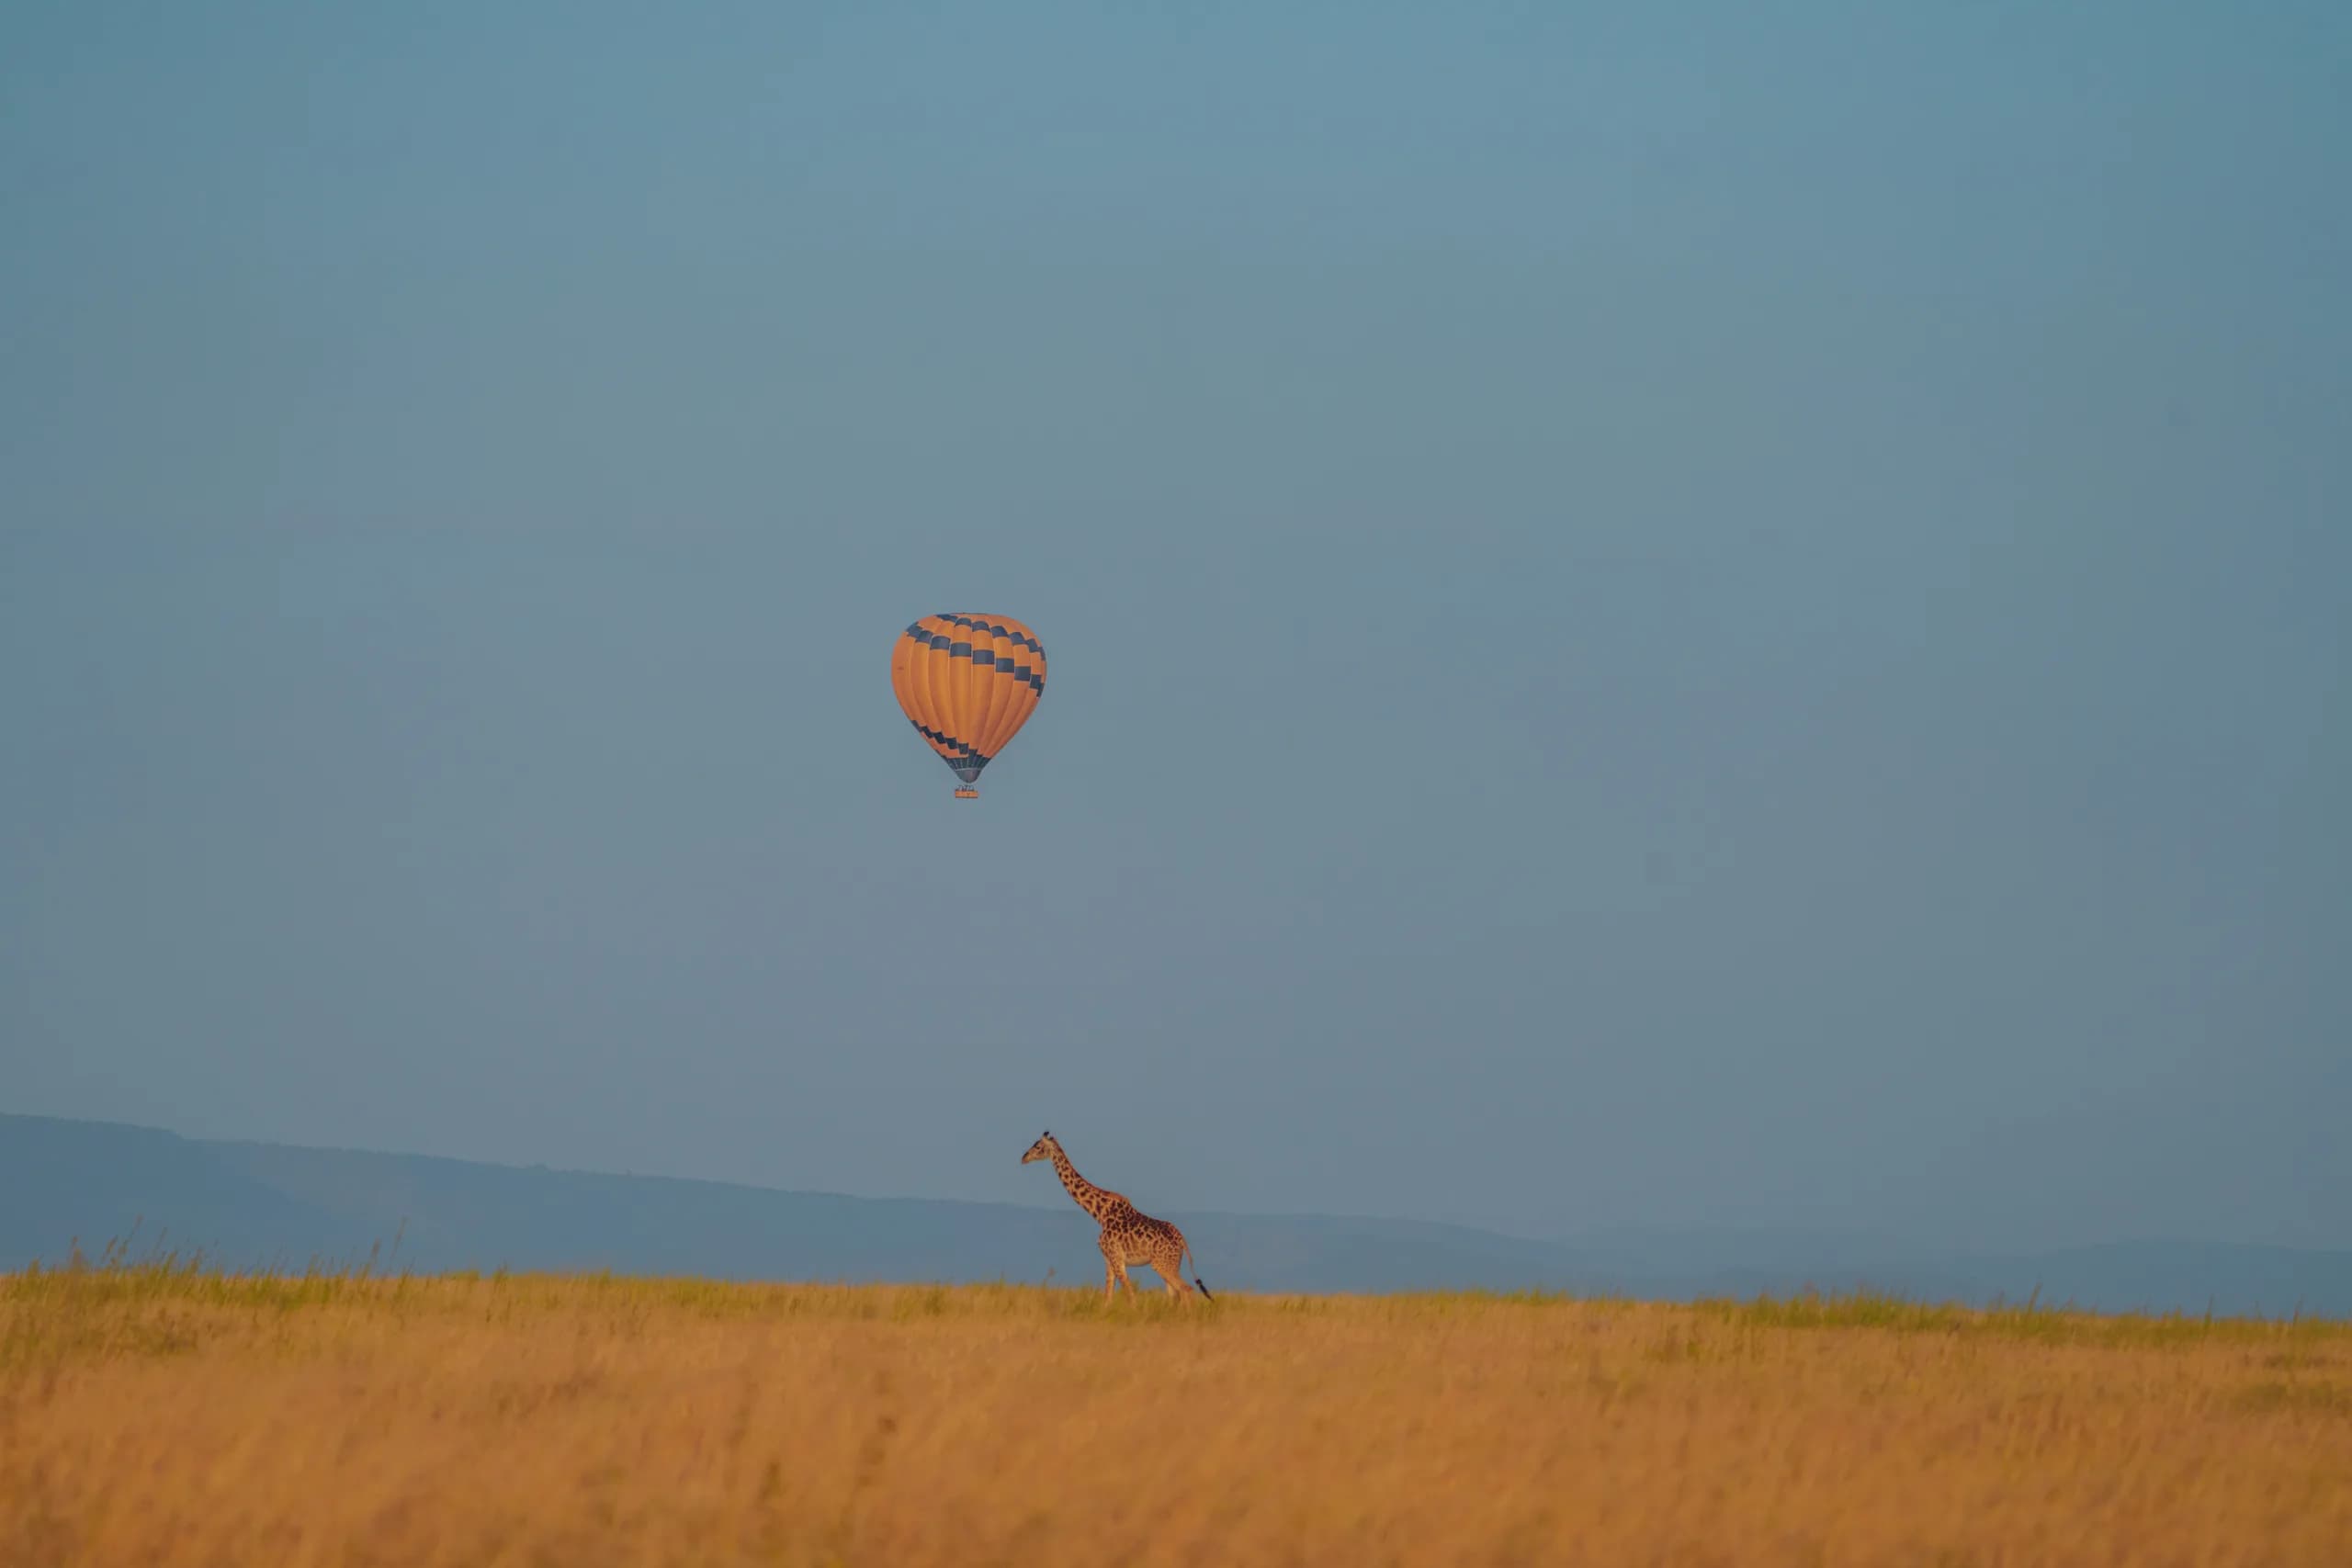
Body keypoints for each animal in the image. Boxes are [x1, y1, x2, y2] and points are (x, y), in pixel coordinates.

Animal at [1021, 1131, 1213, 1304]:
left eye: (1037, 1146)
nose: (1023, 1158)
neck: (1099, 1213)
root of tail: (1181, 1240)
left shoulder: (1114, 1257)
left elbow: (1130, 1296)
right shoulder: (1109, 1260)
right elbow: (1108, 1297)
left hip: (1162, 1264)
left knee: (1187, 1289)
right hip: (1171, 1264)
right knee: (1175, 1295)